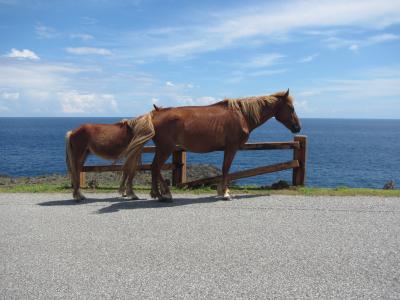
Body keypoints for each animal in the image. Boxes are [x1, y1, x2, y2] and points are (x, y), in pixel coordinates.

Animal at [143, 89, 300, 202]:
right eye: (291, 108)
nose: (297, 127)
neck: (242, 115)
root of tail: (155, 114)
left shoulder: (227, 148)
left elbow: (225, 169)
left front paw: (222, 191)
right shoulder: (232, 147)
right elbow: (226, 168)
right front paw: (225, 193)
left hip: (162, 149)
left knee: (154, 168)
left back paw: (159, 194)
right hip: (165, 149)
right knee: (155, 167)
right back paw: (164, 195)